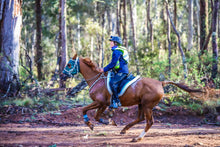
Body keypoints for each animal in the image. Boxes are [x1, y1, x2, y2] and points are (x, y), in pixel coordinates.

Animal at [61, 54, 202, 142]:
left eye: (69, 65)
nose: (62, 76)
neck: (97, 80)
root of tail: (160, 83)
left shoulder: (100, 102)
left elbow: (85, 110)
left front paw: (92, 123)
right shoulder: (103, 104)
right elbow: (96, 115)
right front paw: (108, 121)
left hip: (147, 105)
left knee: (149, 122)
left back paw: (137, 138)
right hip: (141, 104)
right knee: (140, 118)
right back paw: (124, 130)